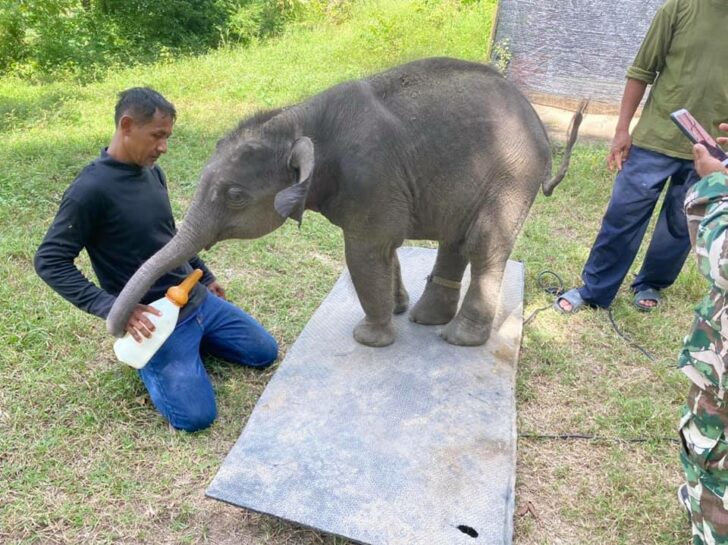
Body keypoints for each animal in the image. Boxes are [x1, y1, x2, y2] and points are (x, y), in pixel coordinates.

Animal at [106, 57, 585, 347]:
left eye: (235, 197)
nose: (130, 327)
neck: (297, 118)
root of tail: (539, 123)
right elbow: (386, 249)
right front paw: (396, 309)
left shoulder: (370, 177)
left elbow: (364, 251)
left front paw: (368, 339)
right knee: (458, 240)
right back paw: (425, 320)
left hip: (513, 175)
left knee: (483, 244)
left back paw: (459, 339)